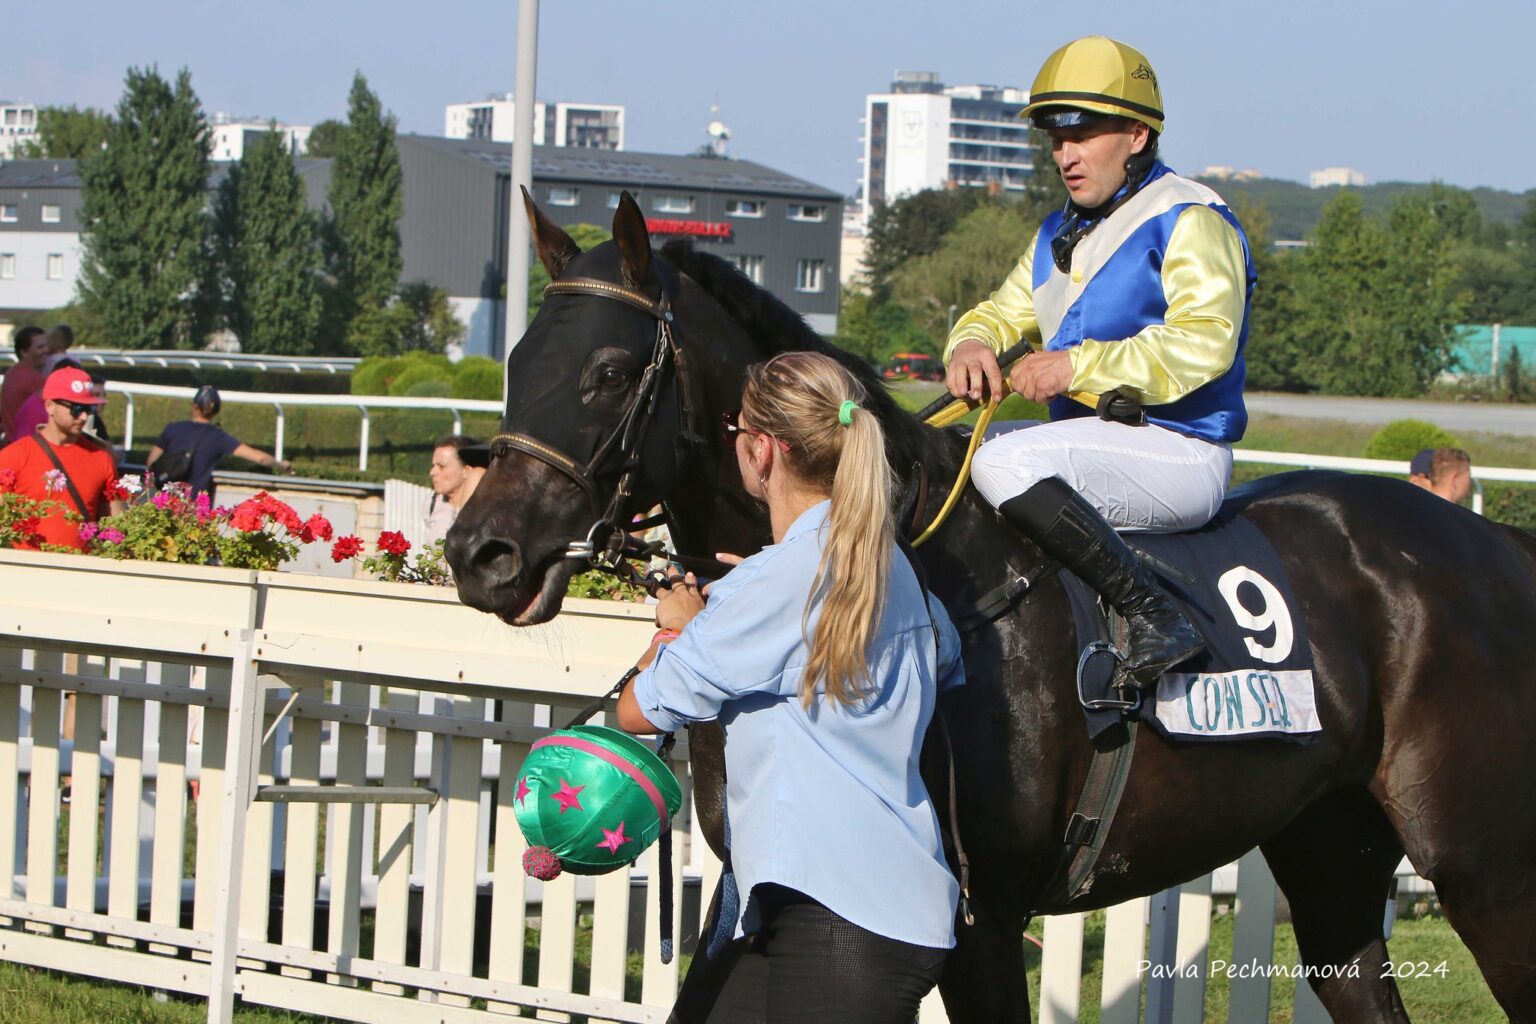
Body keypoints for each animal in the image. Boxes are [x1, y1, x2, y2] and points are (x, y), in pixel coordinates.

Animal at [445, 194, 1536, 1024]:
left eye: (610, 372)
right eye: (516, 360)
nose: (480, 554)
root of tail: (1497, 547)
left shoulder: (981, 919)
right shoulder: (752, 892)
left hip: (1484, 863)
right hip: (1335, 849)